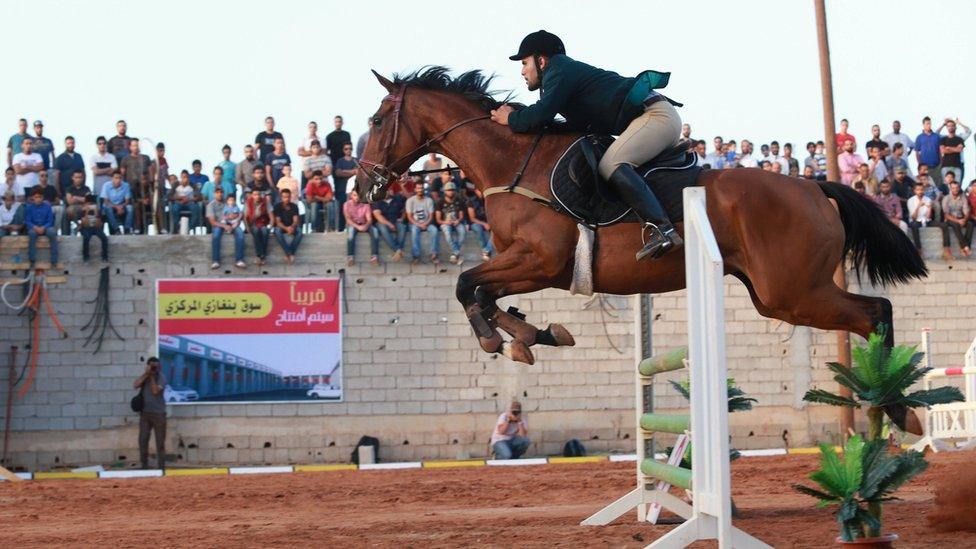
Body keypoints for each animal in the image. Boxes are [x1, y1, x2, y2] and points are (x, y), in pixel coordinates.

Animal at [356, 67, 927, 432]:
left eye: (378, 121)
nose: (362, 187)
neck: (512, 164)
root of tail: (815, 187)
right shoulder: (527, 266)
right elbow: (481, 293)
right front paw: (531, 335)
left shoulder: (540, 261)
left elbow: (466, 285)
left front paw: (498, 340)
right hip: (780, 295)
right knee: (872, 313)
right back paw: (891, 404)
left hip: (792, 292)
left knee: (877, 310)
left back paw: (898, 406)